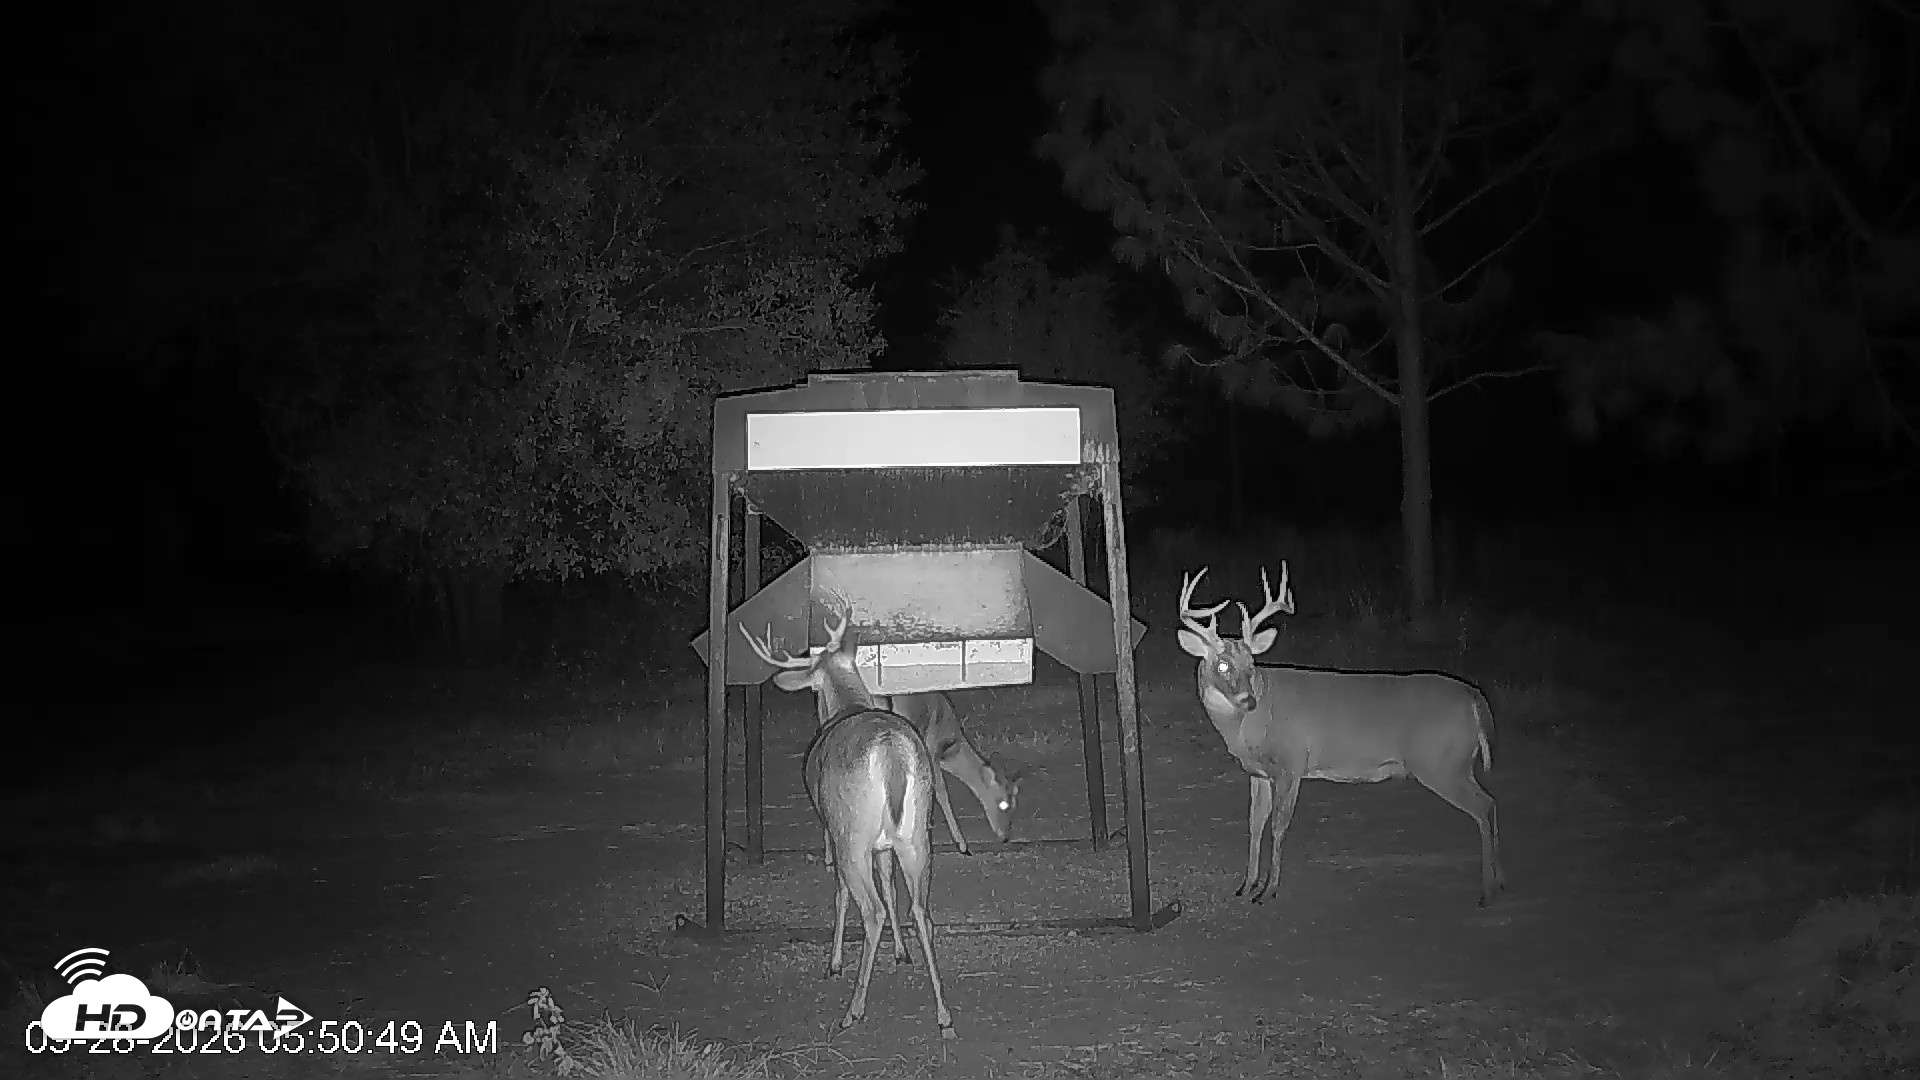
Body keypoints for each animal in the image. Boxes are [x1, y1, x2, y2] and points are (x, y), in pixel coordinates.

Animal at [738, 602, 957, 1039]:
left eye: (813, 689)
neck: (848, 704)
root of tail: (891, 753)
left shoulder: (832, 827)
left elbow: (840, 893)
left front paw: (835, 961)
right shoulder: (883, 844)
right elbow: (890, 885)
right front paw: (901, 952)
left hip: (851, 835)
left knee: (870, 910)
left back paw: (853, 1009)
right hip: (915, 836)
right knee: (921, 910)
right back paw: (943, 1015)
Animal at [877, 692, 1022, 855]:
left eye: (1015, 805)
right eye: (1003, 804)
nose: (1005, 837)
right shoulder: (930, 749)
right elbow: (941, 791)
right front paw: (962, 845)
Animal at [1177, 564, 1505, 907]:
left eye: (1251, 664)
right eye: (1222, 665)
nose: (1248, 701)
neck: (1247, 729)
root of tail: (1474, 697)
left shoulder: (1291, 763)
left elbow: (1278, 826)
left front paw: (1268, 890)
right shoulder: (1259, 773)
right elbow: (1255, 824)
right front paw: (1246, 885)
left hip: (1440, 763)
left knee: (1483, 807)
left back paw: (1488, 891)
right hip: (1456, 764)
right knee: (1491, 802)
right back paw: (1500, 882)